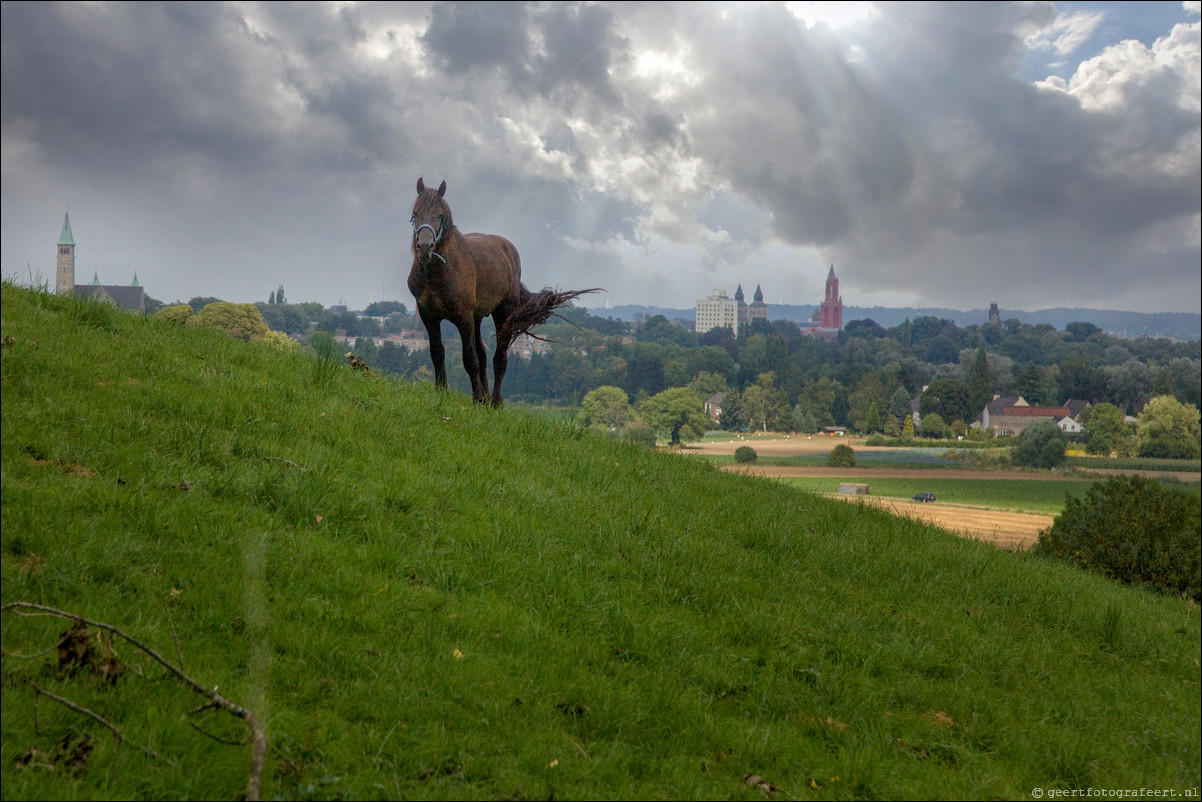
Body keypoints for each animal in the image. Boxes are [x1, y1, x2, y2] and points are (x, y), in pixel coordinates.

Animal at [408, 179, 601, 411]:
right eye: (415, 213)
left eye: (439, 215)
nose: (425, 247)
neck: (438, 272)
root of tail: (508, 249)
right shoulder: (428, 316)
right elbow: (438, 352)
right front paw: (442, 391)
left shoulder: (463, 317)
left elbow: (469, 358)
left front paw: (477, 398)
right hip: (477, 318)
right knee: (482, 354)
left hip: (502, 313)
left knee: (499, 357)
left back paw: (495, 401)